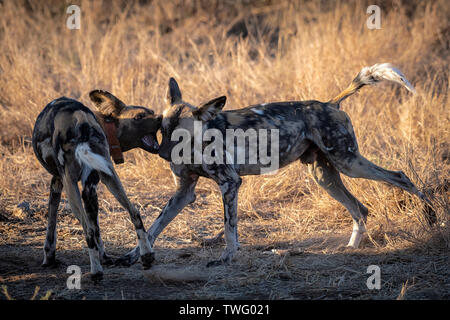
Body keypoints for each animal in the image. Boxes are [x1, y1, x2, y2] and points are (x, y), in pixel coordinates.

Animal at [32, 90, 162, 280]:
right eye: (139, 116)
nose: (161, 117)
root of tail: (79, 118)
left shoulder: (59, 182)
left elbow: (53, 223)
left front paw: (49, 258)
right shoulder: (91, 187)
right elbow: (97, 229)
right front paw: (105, 258)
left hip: (71, 186)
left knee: (87, 231)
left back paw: (96, 272)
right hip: (110, 176)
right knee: (134, 212)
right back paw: (147, 256)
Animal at [118, 63, 434, 268]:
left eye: (180, 135)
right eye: (162, 130)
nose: (163, 155)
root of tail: (330, 103)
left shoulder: (230, 183)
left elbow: (230, 228)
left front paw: (226, 258)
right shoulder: (184, 192)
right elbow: (152, 227)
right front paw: (135, 255)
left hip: (348, 163)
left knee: (400, 176)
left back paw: (430, 219)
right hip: (324, 174)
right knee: (360, 208)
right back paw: (350, 249)